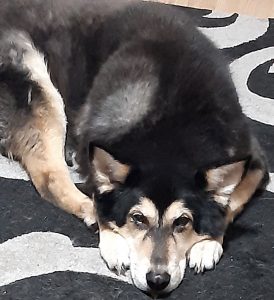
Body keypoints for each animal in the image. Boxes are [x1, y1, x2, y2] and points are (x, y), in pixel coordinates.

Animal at [0, 0, 268, 296]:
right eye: (137, 218)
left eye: (182, 223)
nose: (157, 280)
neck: (169, 131)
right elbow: (103, 197)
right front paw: (113, 240)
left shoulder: (254, 159)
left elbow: (229, 203)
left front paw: (208, 243)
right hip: (36, 80)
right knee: (49, 177)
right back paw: (87, 207)